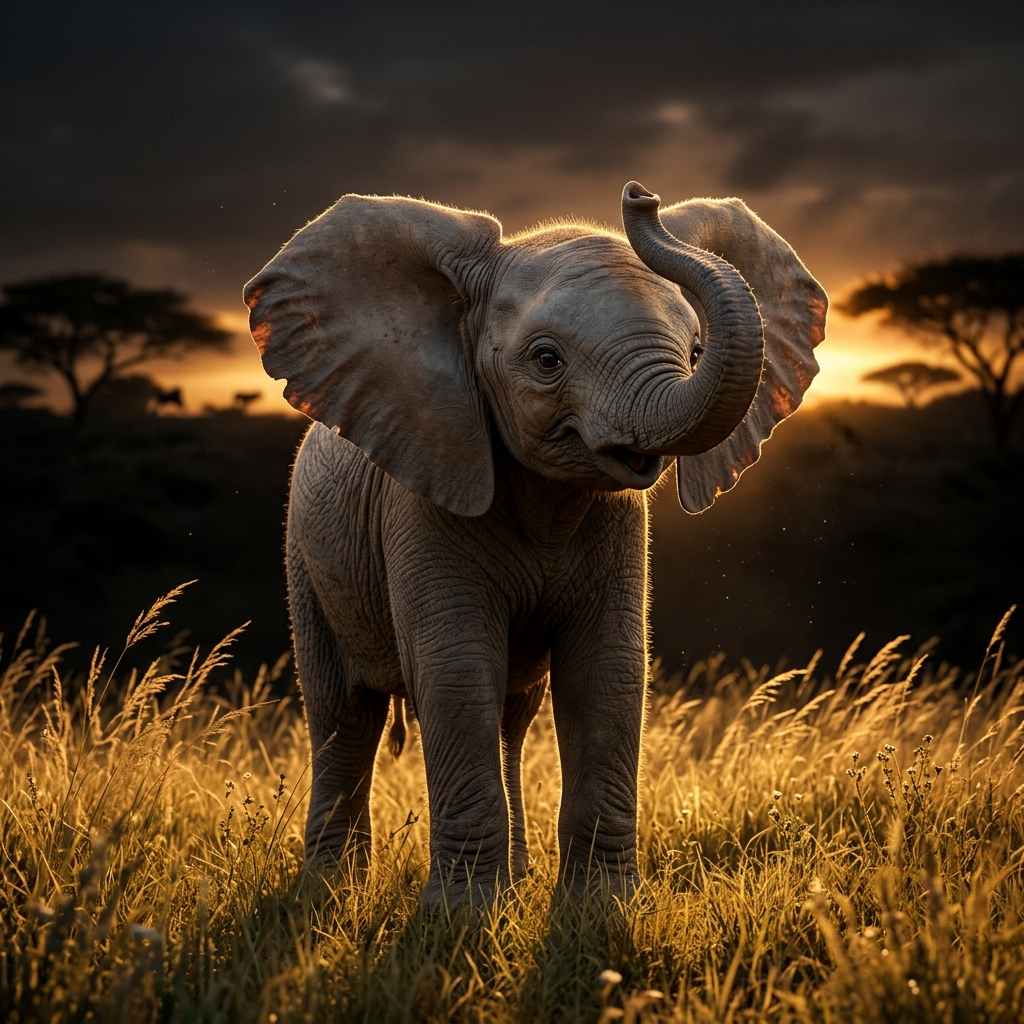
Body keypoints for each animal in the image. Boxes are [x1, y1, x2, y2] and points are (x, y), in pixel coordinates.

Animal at [244, 181, 827, 909]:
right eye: (546, 360)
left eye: (695, 353)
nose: (640, 196)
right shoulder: (423, 501)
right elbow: (456, 670)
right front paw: (462, 918)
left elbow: (607, 672)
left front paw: (599, 911)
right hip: (305, 552)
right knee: (342, 714)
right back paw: (329, 893)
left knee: (511, 717)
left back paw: (513, 880)